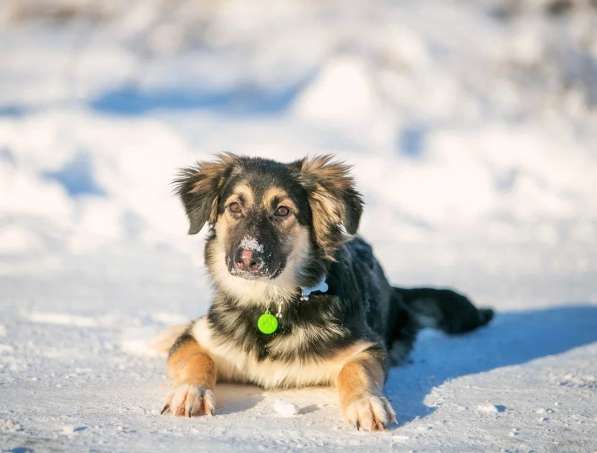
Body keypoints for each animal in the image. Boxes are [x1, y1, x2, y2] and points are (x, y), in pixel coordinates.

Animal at [159, 154, 494, 430]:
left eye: (282, 211)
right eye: (234, 207)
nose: (247, 257)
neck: (271, 303)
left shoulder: (365, 347)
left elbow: (356, 371)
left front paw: (366, 403)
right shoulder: (199, 339)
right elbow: (197, 358)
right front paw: (190, 392)